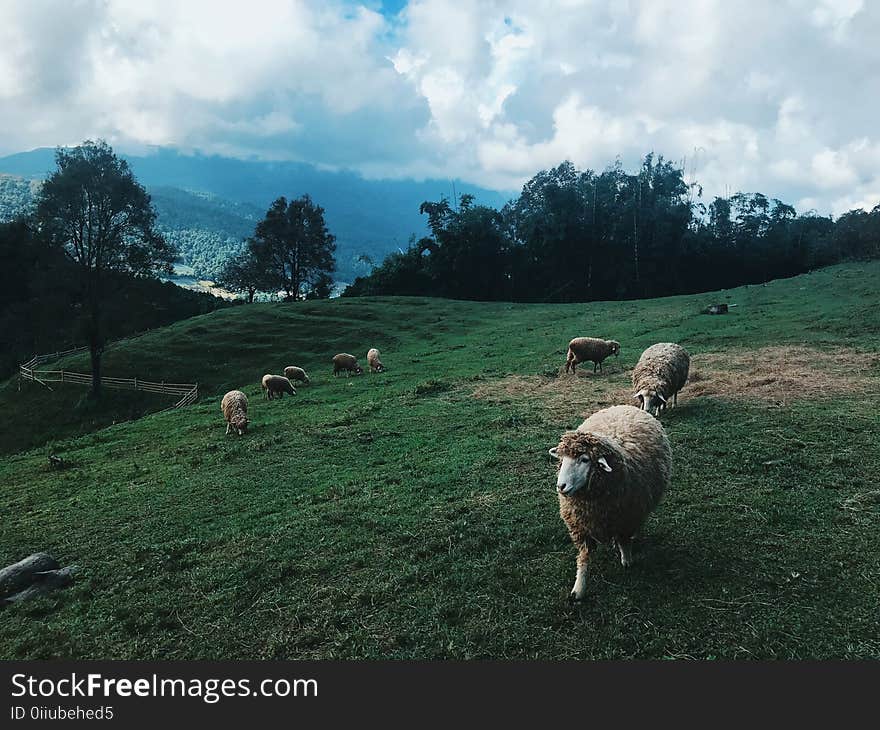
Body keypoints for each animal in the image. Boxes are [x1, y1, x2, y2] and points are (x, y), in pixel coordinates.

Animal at [548, 400, 672, 600]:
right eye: (563, 459)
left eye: (584, 459)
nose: (561, 486)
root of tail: (624, 406)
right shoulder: (581, 526)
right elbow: (584, 557)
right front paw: (579, 588)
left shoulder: (626, 518)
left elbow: (624, 540)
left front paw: (627, 560)